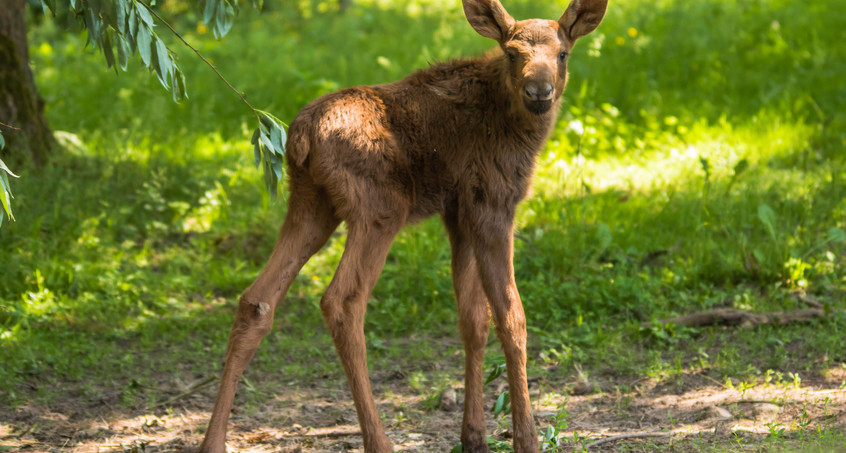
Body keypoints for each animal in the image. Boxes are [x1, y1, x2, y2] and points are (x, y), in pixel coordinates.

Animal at [201, 1, 608, 450]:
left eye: (563, 53)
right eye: (512, 53)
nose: (539, 92)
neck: (517, 127)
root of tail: (301, 138)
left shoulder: (459, 212)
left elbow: (473, 320)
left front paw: (474, 437)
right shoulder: (493, 204)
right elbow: (511, 318)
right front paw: (526, 438)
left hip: (310, 206)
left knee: (256, 300)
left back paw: (212, 440)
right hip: (380, 208)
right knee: (342, 301)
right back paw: (378, 440)